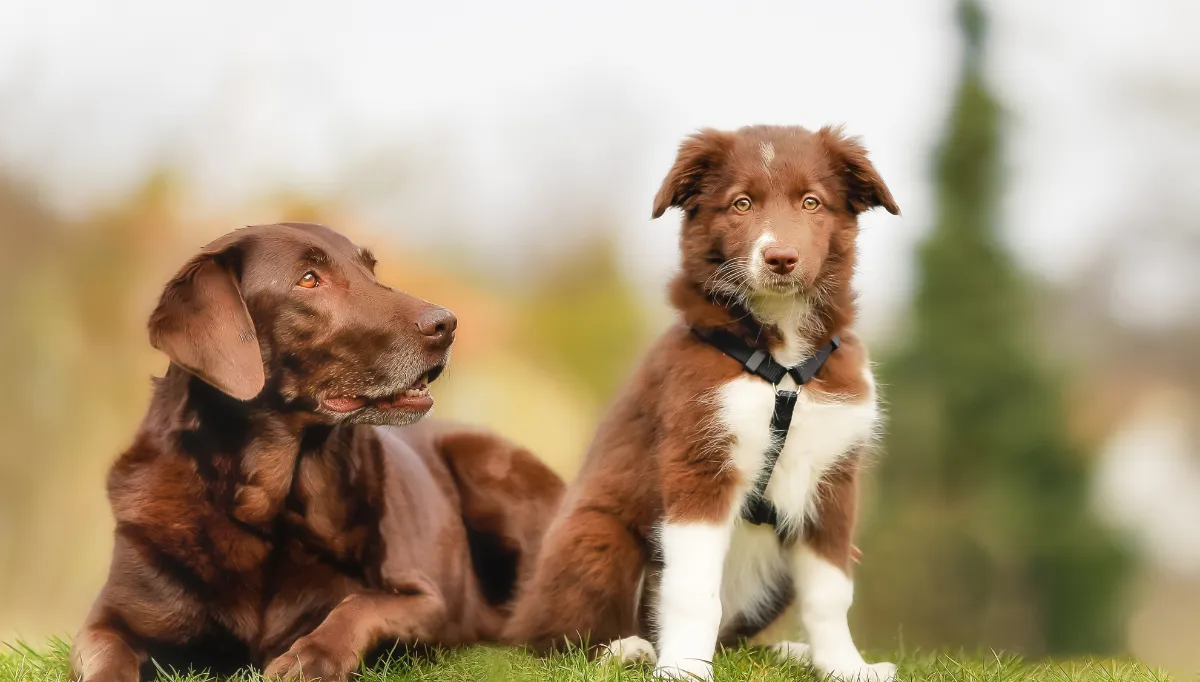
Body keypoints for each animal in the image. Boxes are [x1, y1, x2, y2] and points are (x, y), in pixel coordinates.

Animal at [70, 223, 566, 682]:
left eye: (370, 269)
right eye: (309, 280)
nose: (447, 323)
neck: (267, 510)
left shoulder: (427, 600)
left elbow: (360, 603)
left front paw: (312, 656)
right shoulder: (105, 622)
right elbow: (108, 659)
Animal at [501, 125, 902, 677]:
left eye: (811, 202)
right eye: (742, 203)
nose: (781, 258)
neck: (782, 362)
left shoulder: (832, 479)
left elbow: (830, 591)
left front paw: (846, 667)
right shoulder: (700, 463)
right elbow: (693, 590)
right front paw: (683, 668)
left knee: (736, 639)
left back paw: (788, 652)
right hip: (595, 535)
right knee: (548, 640)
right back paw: (626, 649)